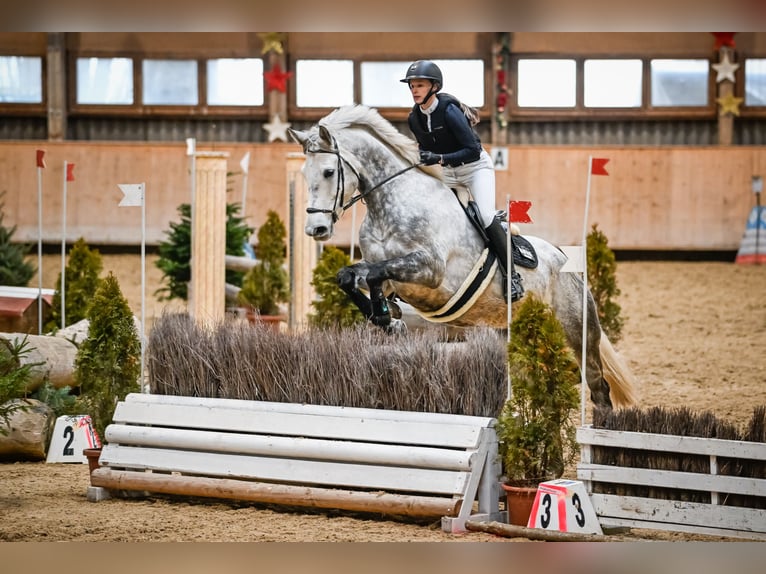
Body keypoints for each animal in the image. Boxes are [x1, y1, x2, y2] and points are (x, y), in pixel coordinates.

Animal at [288, 105, 636, 410]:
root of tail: (567, 262)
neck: (393, 204)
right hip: (512, 331)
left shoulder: (430, 271)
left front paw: (387, 316)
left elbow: (374, 274)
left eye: (329, 172)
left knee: (597, 385)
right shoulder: (387, 273)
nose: (316, 229)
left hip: (577, 330)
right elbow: (350, 276)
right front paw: (386, 315)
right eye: (304, 173)